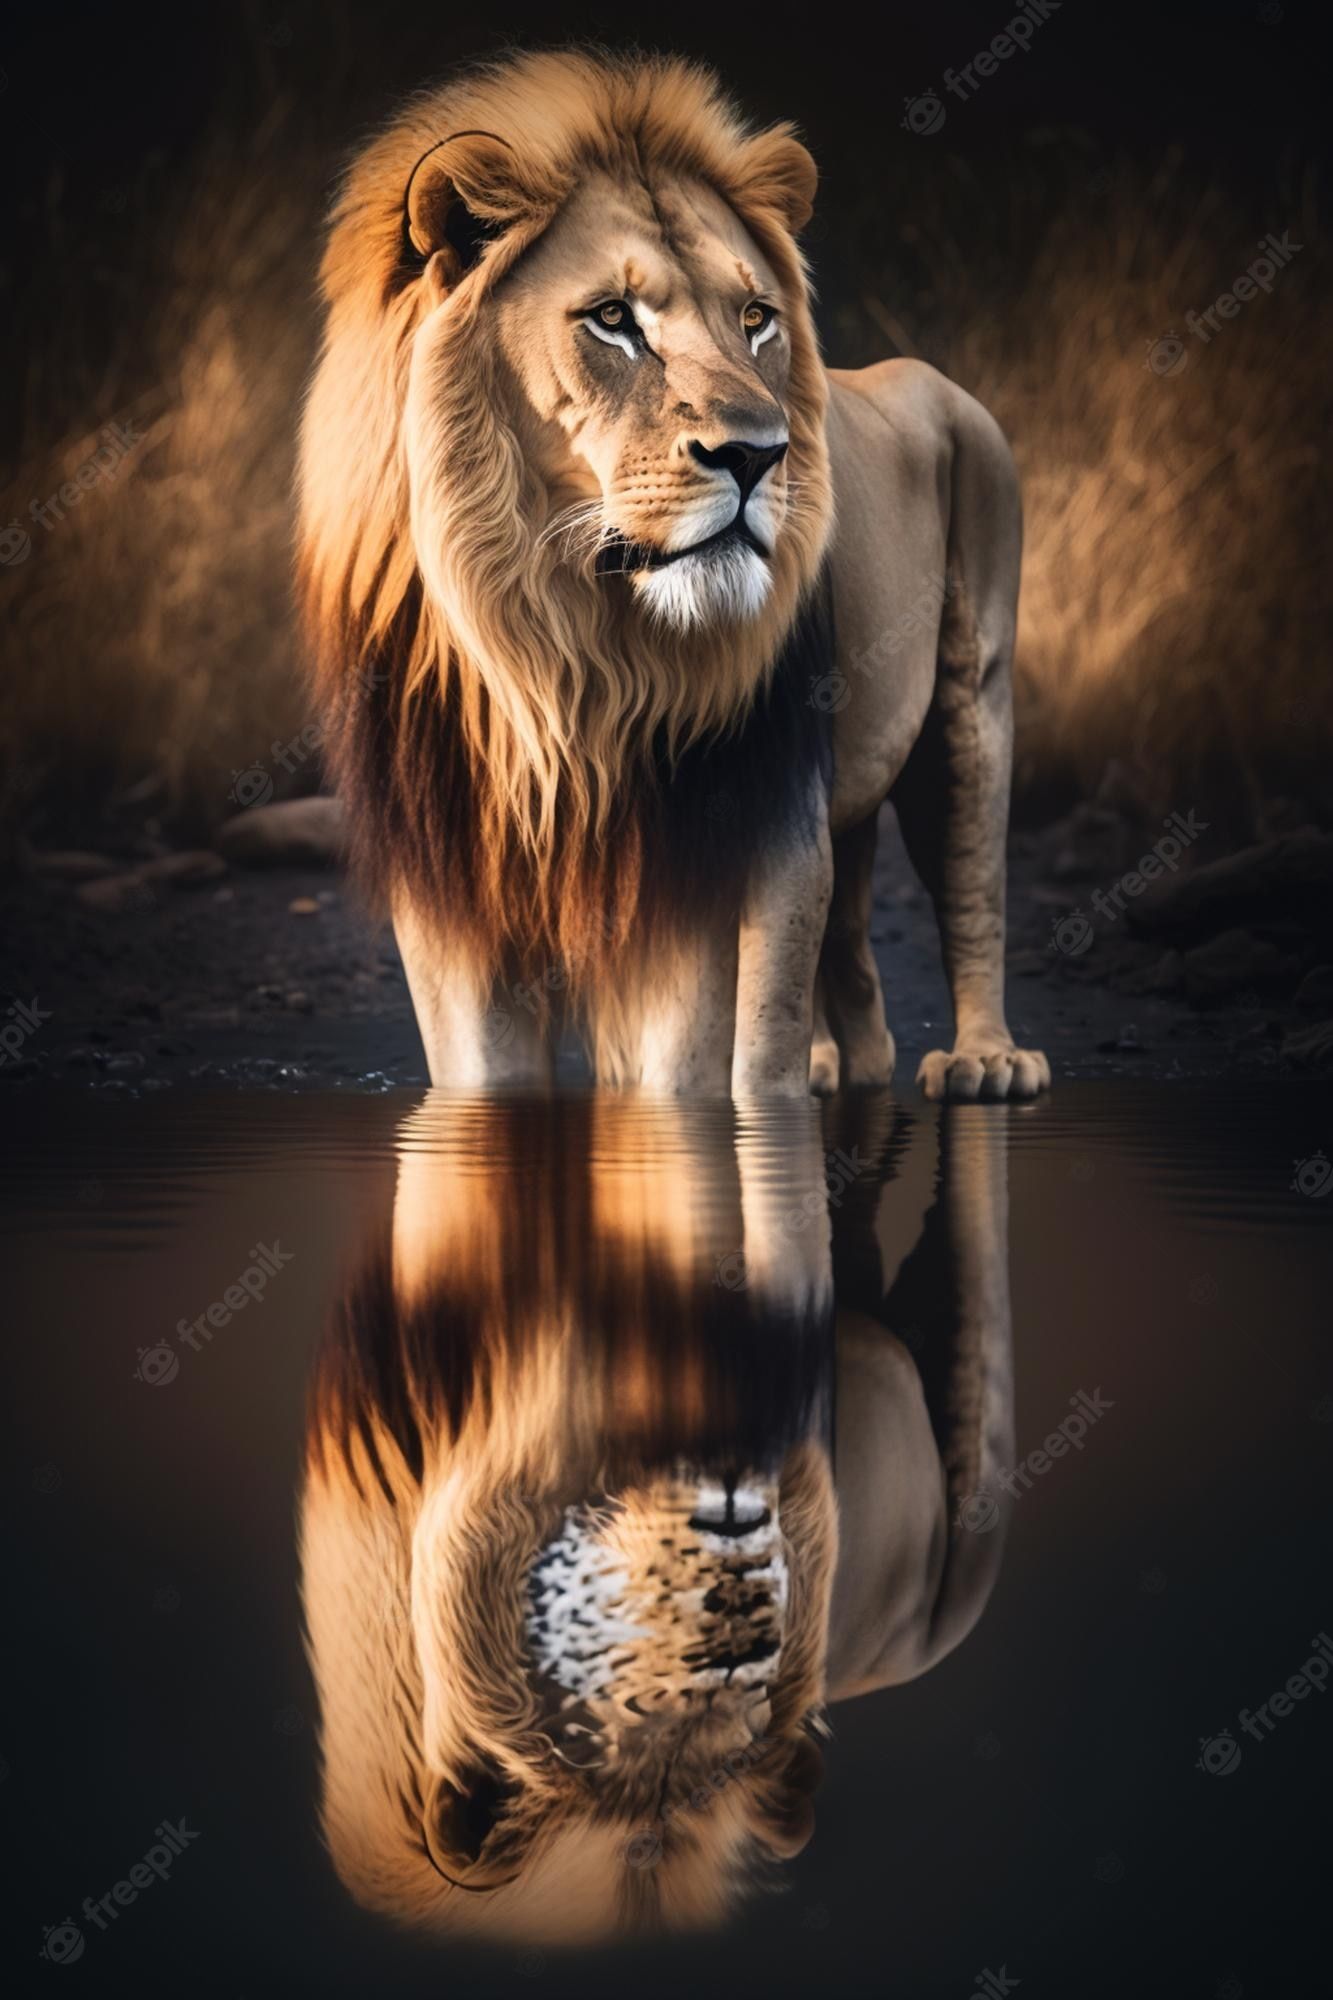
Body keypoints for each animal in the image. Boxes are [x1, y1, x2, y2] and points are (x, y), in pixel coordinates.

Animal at [298, 47, 1048, 1100]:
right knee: (853, 956)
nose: (759, 455)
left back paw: (986, 1062)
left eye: (756, 318)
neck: (558, 642)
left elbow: (718, 1056)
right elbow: (485, 1068)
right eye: (612, 319)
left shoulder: (745, 826)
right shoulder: (451, 867)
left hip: (968, 693)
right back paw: (842, 1064)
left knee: (971, 882)